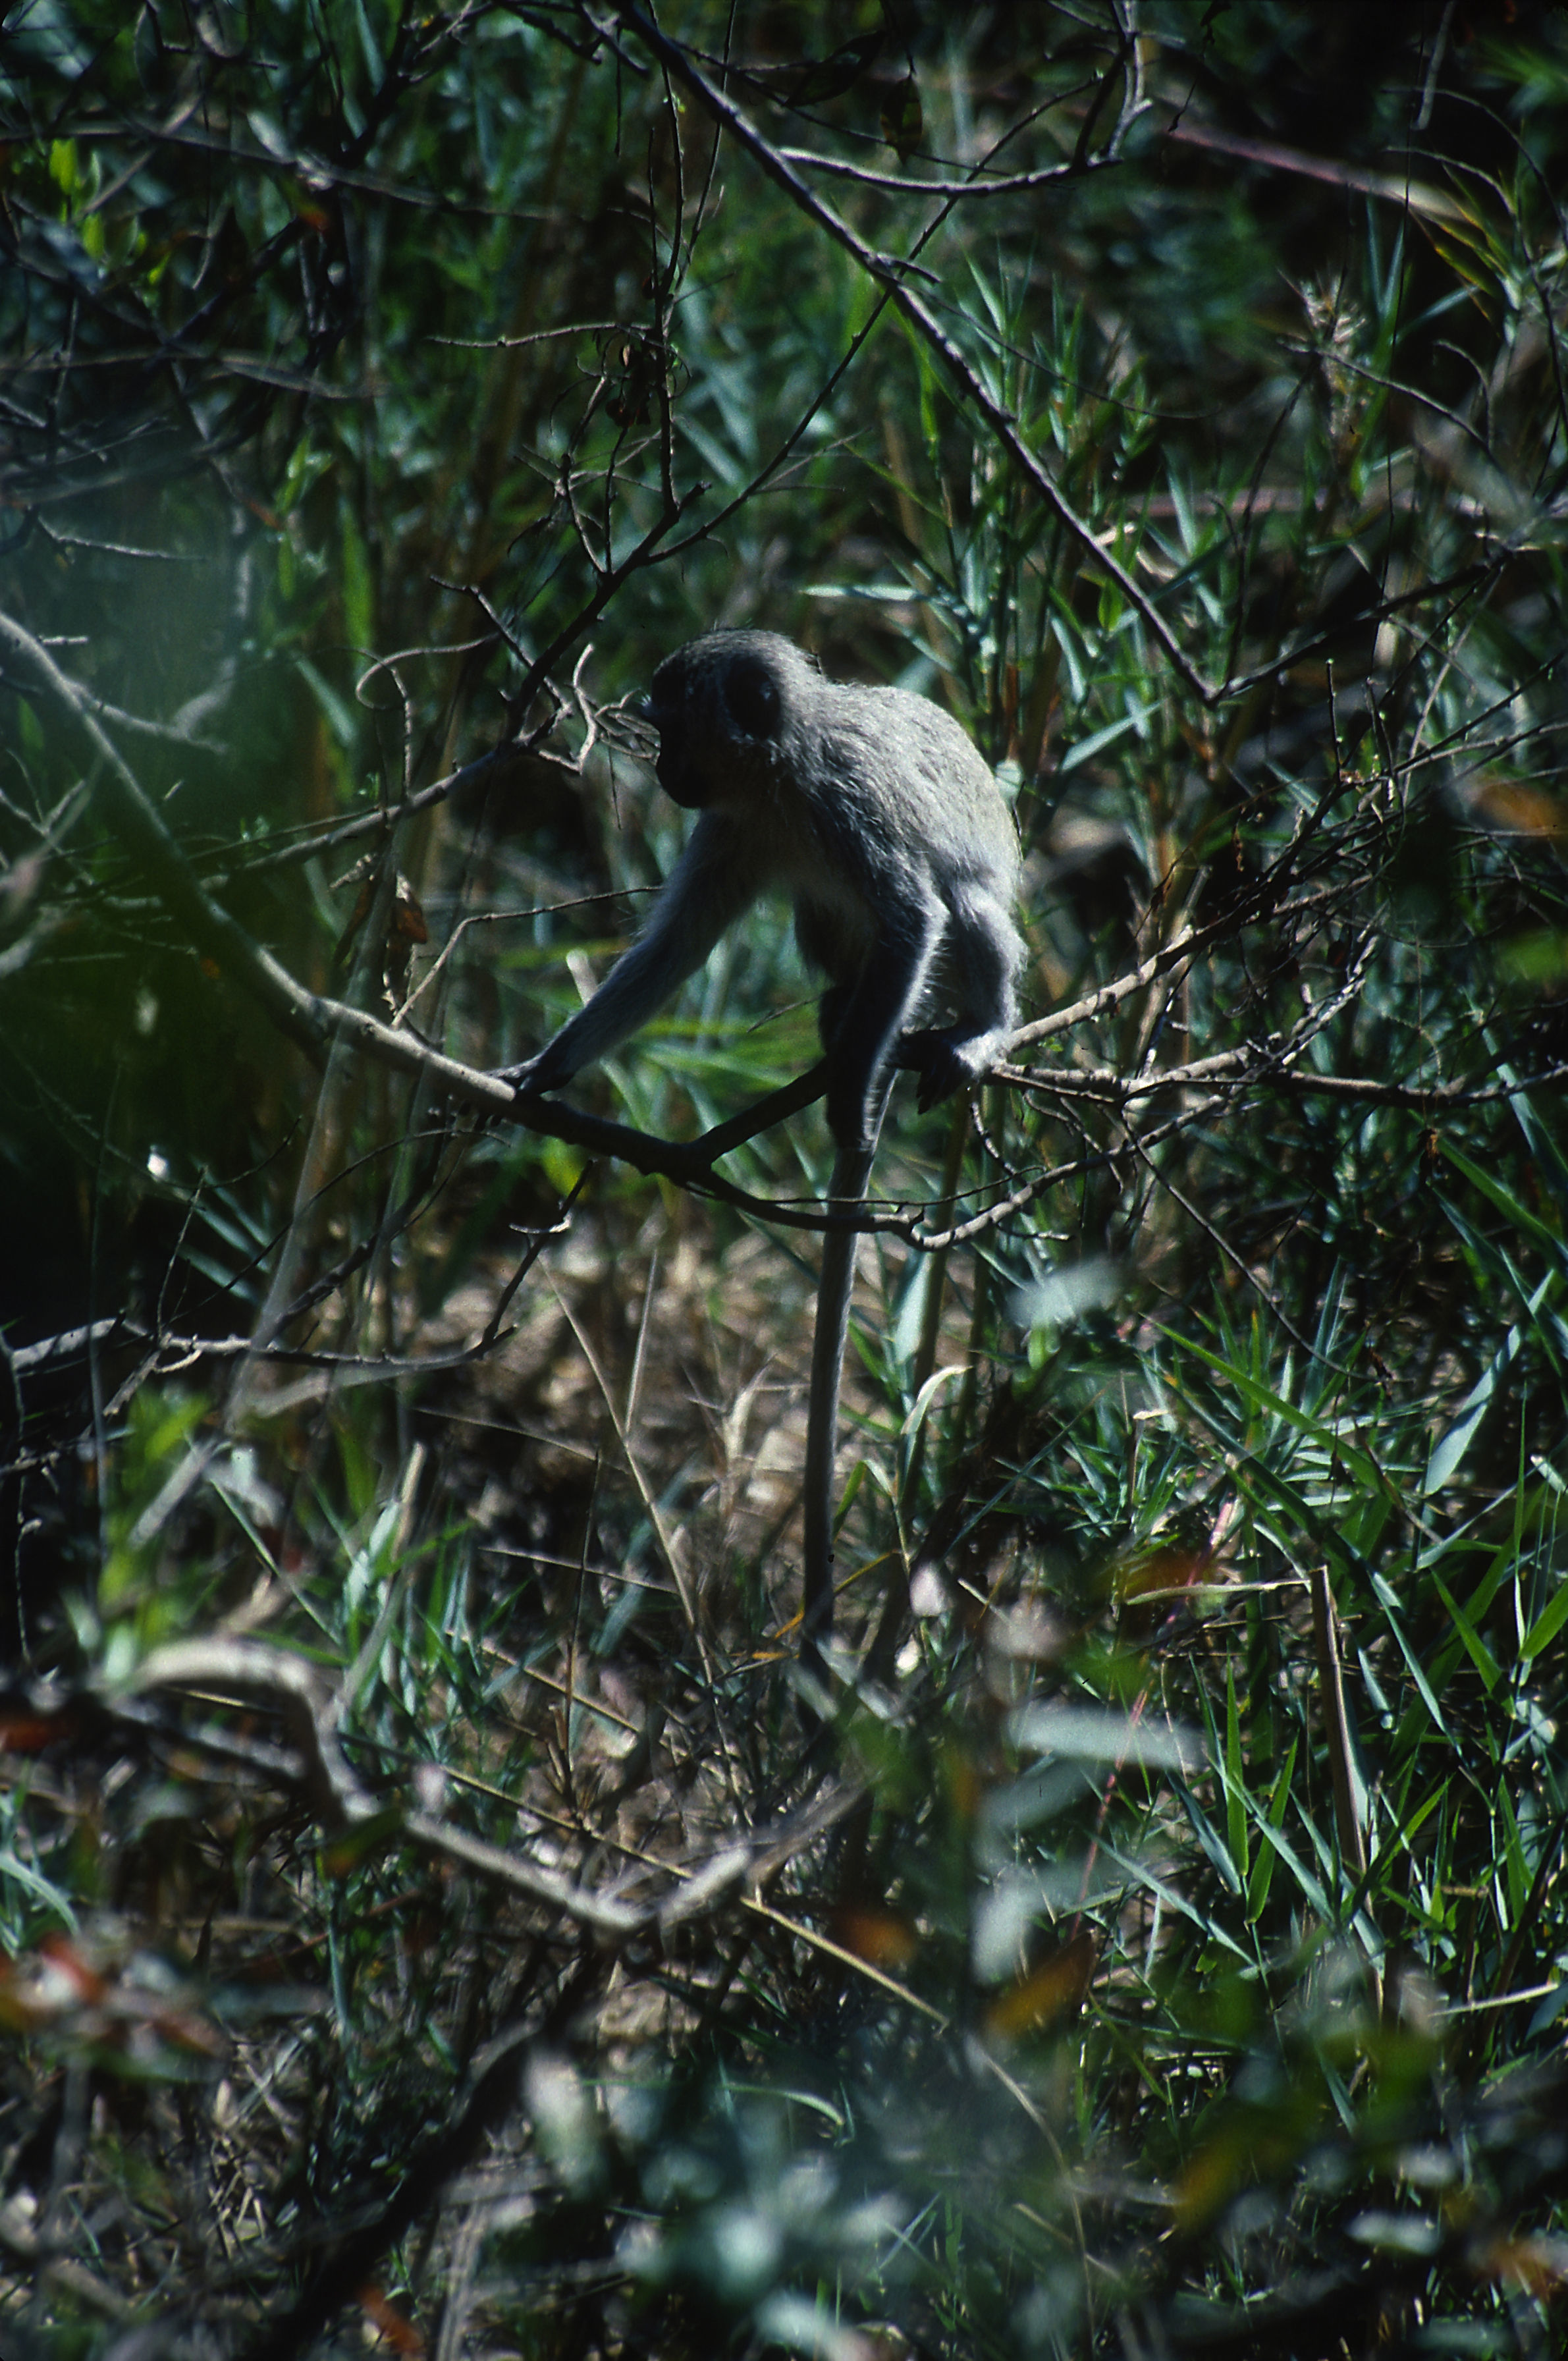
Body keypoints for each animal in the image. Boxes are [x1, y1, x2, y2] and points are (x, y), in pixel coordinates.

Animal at [505, 637, 1029, 1681]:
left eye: (672, 722)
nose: (664, 771)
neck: (781, 775)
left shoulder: (847, 805)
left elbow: (914, 916)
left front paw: (853, 1100)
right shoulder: (730, 827)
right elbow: (674, 947)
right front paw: (551, 1068)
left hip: (956, 955)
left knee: (965, 909)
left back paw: (964, 1034)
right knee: (831, 933)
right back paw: (841, 1024)